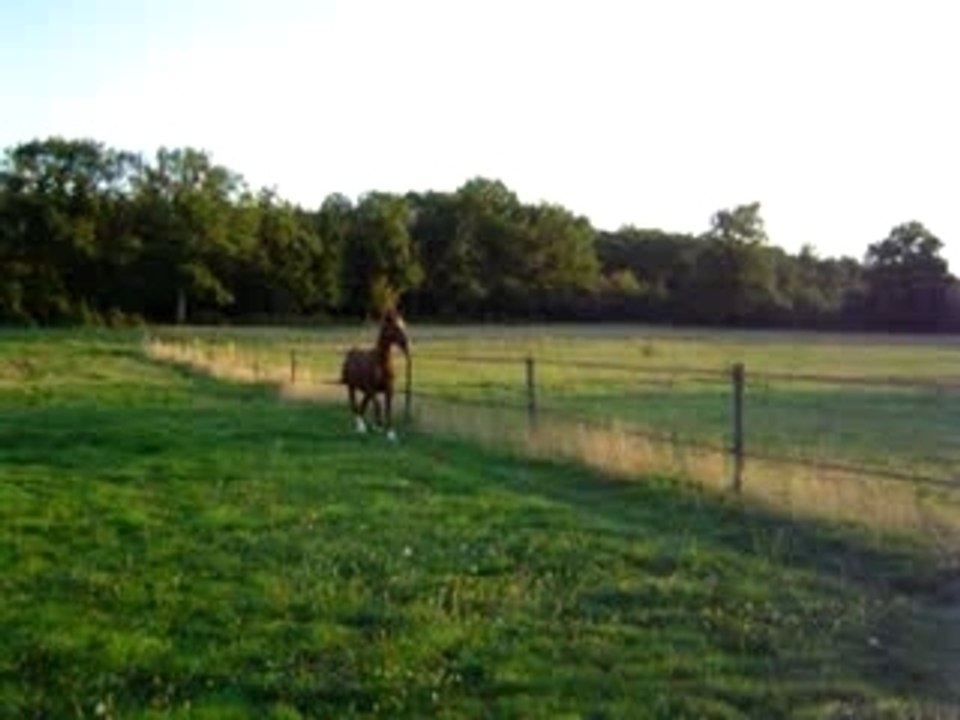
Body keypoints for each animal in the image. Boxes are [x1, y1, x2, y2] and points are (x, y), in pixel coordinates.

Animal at [340, 306, 410, 441]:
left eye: (403, 325)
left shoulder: (389, 390)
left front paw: (390, 433)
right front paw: (379, 425)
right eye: (395, 327)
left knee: (362, 405)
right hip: (351, 387)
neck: (381, 363)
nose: (406, 344)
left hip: (364, 390)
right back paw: (361, 427)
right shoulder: (371, 389)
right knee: (354, 405)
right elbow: (378, 406)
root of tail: (351, 352)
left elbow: (388, 409)